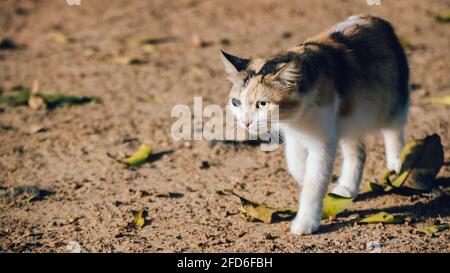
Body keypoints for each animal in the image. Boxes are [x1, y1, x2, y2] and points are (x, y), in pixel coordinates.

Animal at [220, 14, 410, 234]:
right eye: (236, 102)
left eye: (262, 104)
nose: (246, 122)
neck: (296, 118)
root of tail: (374, 18)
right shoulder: (295, 136)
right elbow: (296, 165)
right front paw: (305, 178)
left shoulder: (323, 142)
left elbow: (315, 182)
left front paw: (306, 222)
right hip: (348, 120)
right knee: (358, 152)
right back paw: (346, 188)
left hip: (392, 102)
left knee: (394, 130)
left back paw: (397, 164)